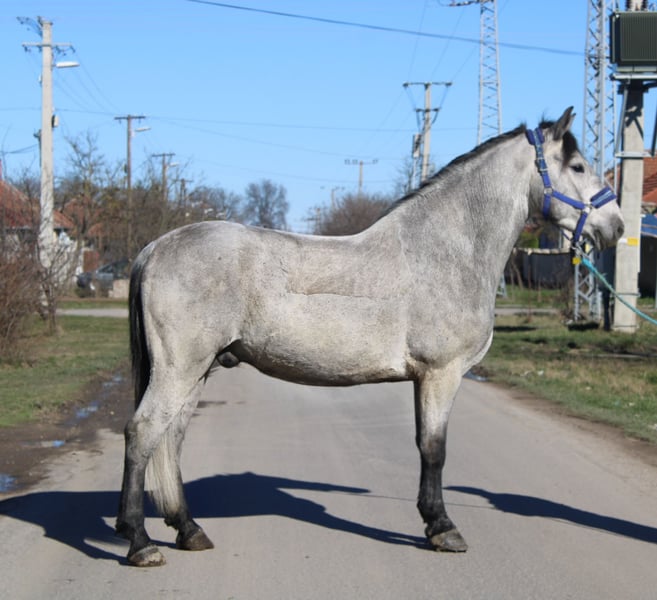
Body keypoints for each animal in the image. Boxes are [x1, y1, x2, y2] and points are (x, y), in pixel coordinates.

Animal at [116, 107, 624, 566]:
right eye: (578, 166)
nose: (616, 226)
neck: (444, 251)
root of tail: (156, 246)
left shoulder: (426, 378)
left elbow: (425, 445)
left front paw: (432, 521)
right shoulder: (441, 374)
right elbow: (434, 450)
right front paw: (443, 529)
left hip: (196, 370)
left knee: (171, 440)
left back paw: (188, 530)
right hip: (179, 370)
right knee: (143, 433)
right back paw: (140, 543)